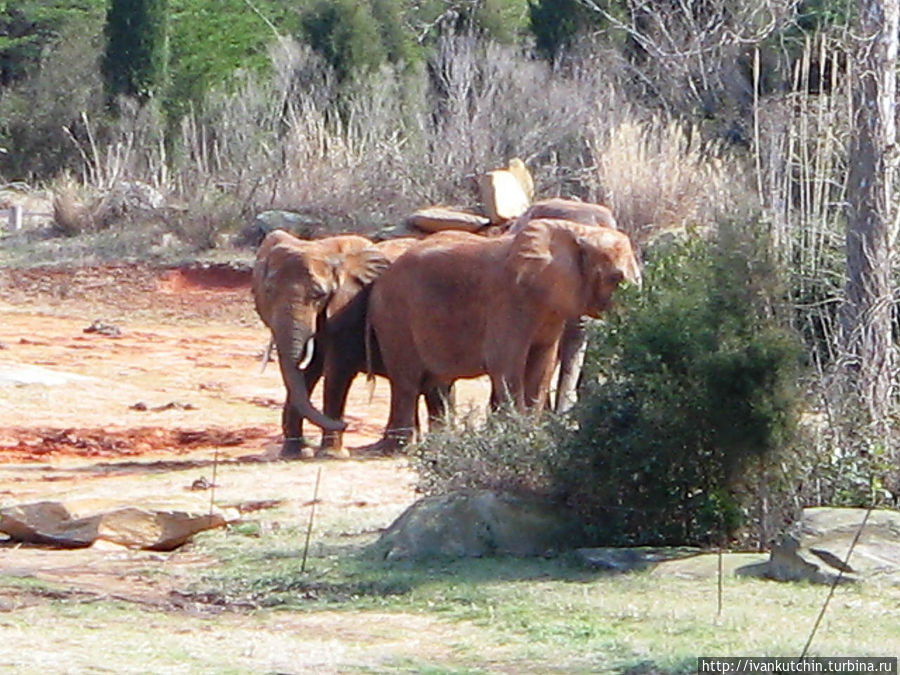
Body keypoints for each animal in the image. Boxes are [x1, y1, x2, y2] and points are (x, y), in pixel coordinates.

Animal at [253, 228, 394, 460]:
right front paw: (295, 453)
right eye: (268, 292)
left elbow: (336, 369)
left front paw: (331, 454)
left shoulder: (348, 307)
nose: (345, 424)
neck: (327, 248)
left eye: (319, 295)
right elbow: (307, 371)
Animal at [366, 220, 640, 454]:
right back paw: (398, 449)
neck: (576, 231)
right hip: (393, 315)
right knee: (406, 381)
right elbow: (505, 363)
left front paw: (531, 434)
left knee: (436, 384)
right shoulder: (509, 299)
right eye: (615, 278)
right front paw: (517, 435)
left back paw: (438, 444)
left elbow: (542, 363)